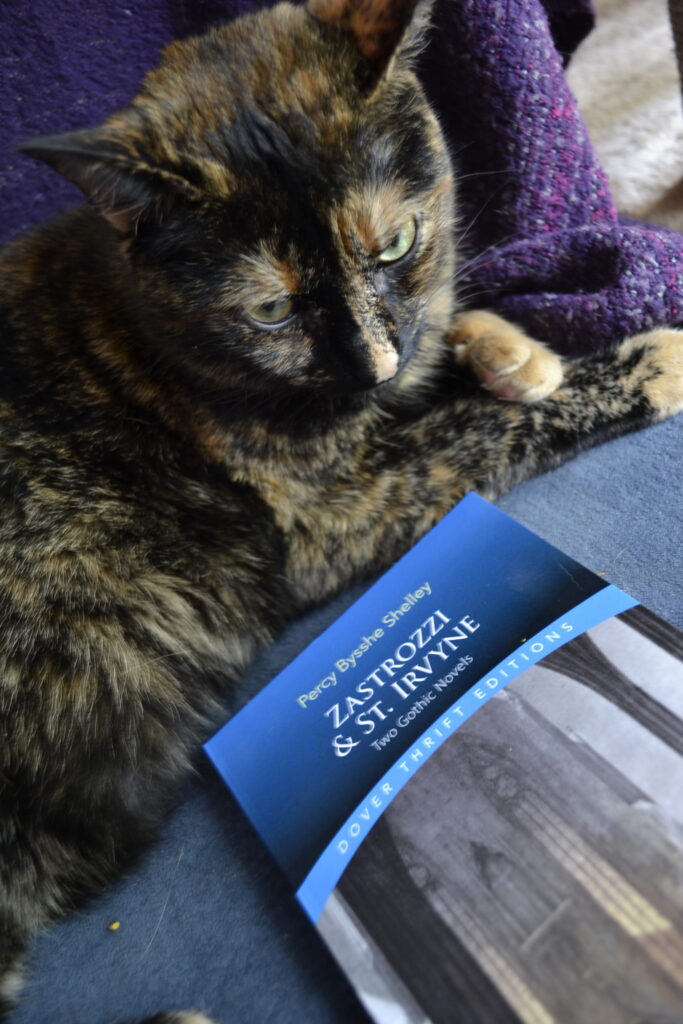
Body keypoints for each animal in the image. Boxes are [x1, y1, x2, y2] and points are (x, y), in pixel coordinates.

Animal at [1, 2, 683, 1024]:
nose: (371, 362)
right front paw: (644, 362)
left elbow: (449, 342)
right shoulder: (339, 507)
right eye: (271, 312)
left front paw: (507, 349)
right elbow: (480, 429)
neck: (140, 321)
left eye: (394, 245)